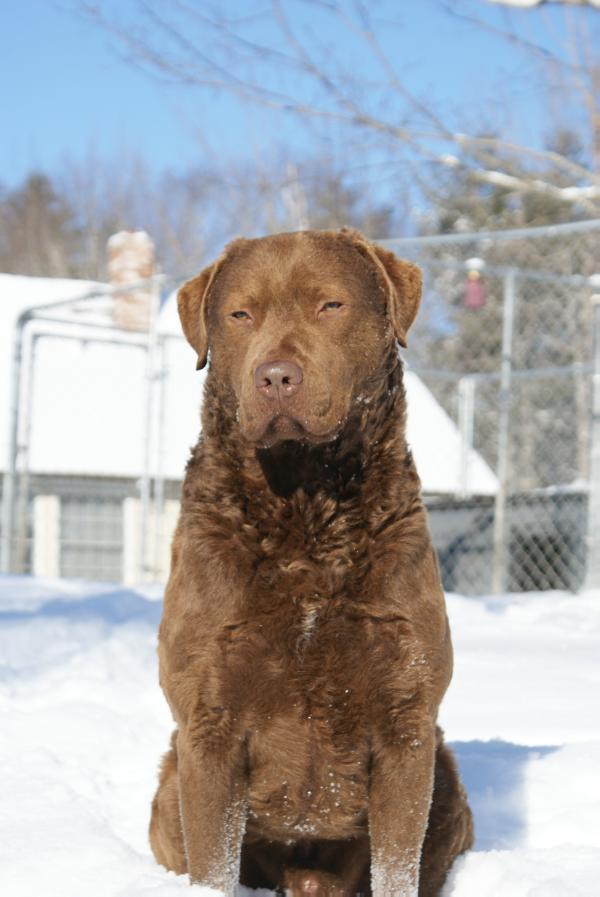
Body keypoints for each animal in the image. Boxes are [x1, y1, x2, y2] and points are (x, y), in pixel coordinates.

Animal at [150, 228, 474, 892]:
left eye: (330, 305)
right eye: (240, 314)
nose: (276, 377)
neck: (305, 515)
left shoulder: (408, 720)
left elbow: (397, 868)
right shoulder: (206, 721)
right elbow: (213, 864)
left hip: (447, 776)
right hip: (169, 783)